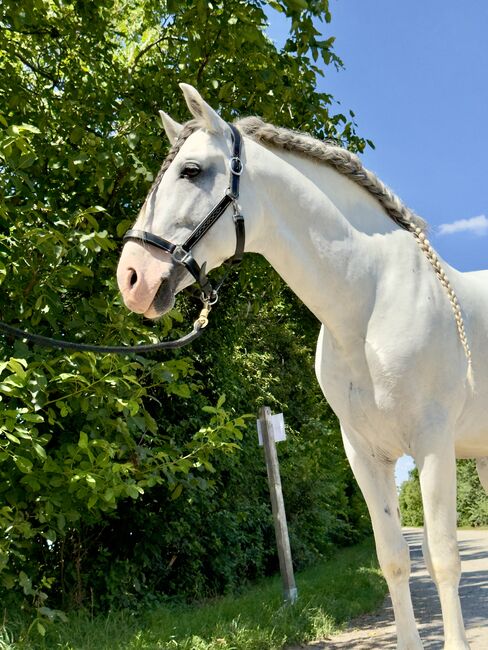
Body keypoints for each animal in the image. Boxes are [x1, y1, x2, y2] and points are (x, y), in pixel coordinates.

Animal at [118, 83, 488, 644]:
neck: (370, 303)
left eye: (191, 171)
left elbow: (443, 559)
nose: (132, 278)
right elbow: (394, 559)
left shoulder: (433, 444)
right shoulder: (364, 454)